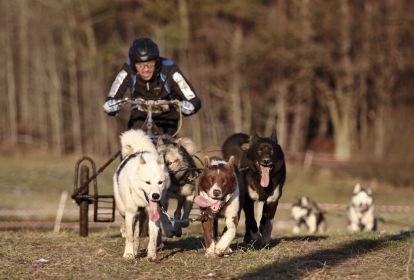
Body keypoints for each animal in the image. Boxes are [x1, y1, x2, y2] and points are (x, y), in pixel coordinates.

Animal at [113, 129, 170, 260]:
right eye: (147, 182)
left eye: (160, 182)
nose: (155, 196)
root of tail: (138, 150)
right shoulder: (130, 213)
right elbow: (130, 235)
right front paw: (128, 254)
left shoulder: (154, 214)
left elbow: (152, 238)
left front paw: (152, 255)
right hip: (123, 208)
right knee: (127, 226)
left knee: (137, 234)